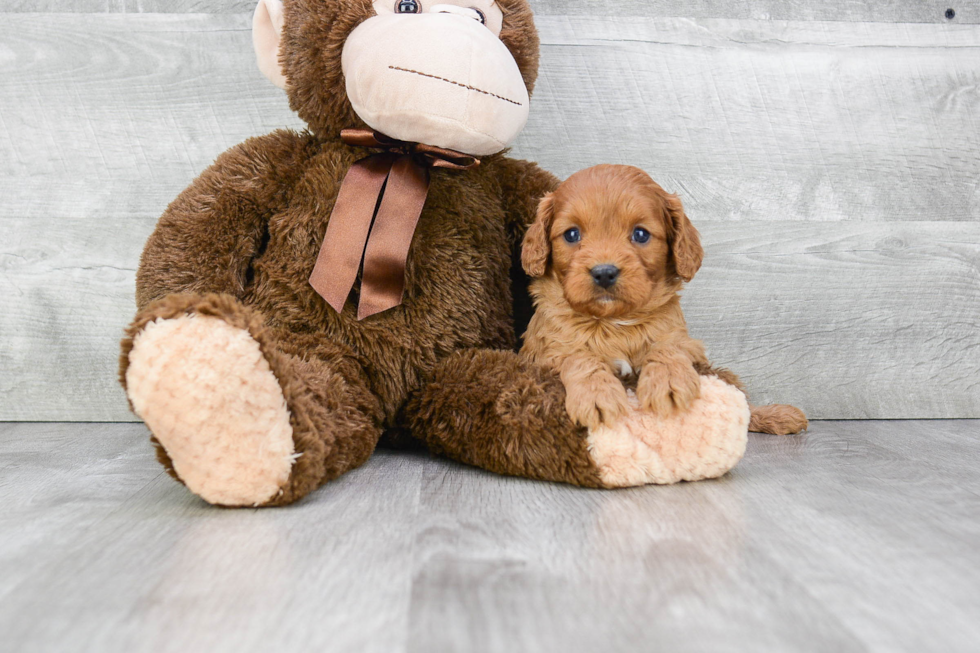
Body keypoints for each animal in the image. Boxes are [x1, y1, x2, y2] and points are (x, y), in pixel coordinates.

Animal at [516, 166, 808, 436]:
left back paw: (778, 415)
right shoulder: (546, 354)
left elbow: (668, 346)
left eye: (641, 234)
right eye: (572, 234)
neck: (615, 321)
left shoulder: (686, 341)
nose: (604, 272)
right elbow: (579, 357)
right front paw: (597, 395)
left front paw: (667, 382)